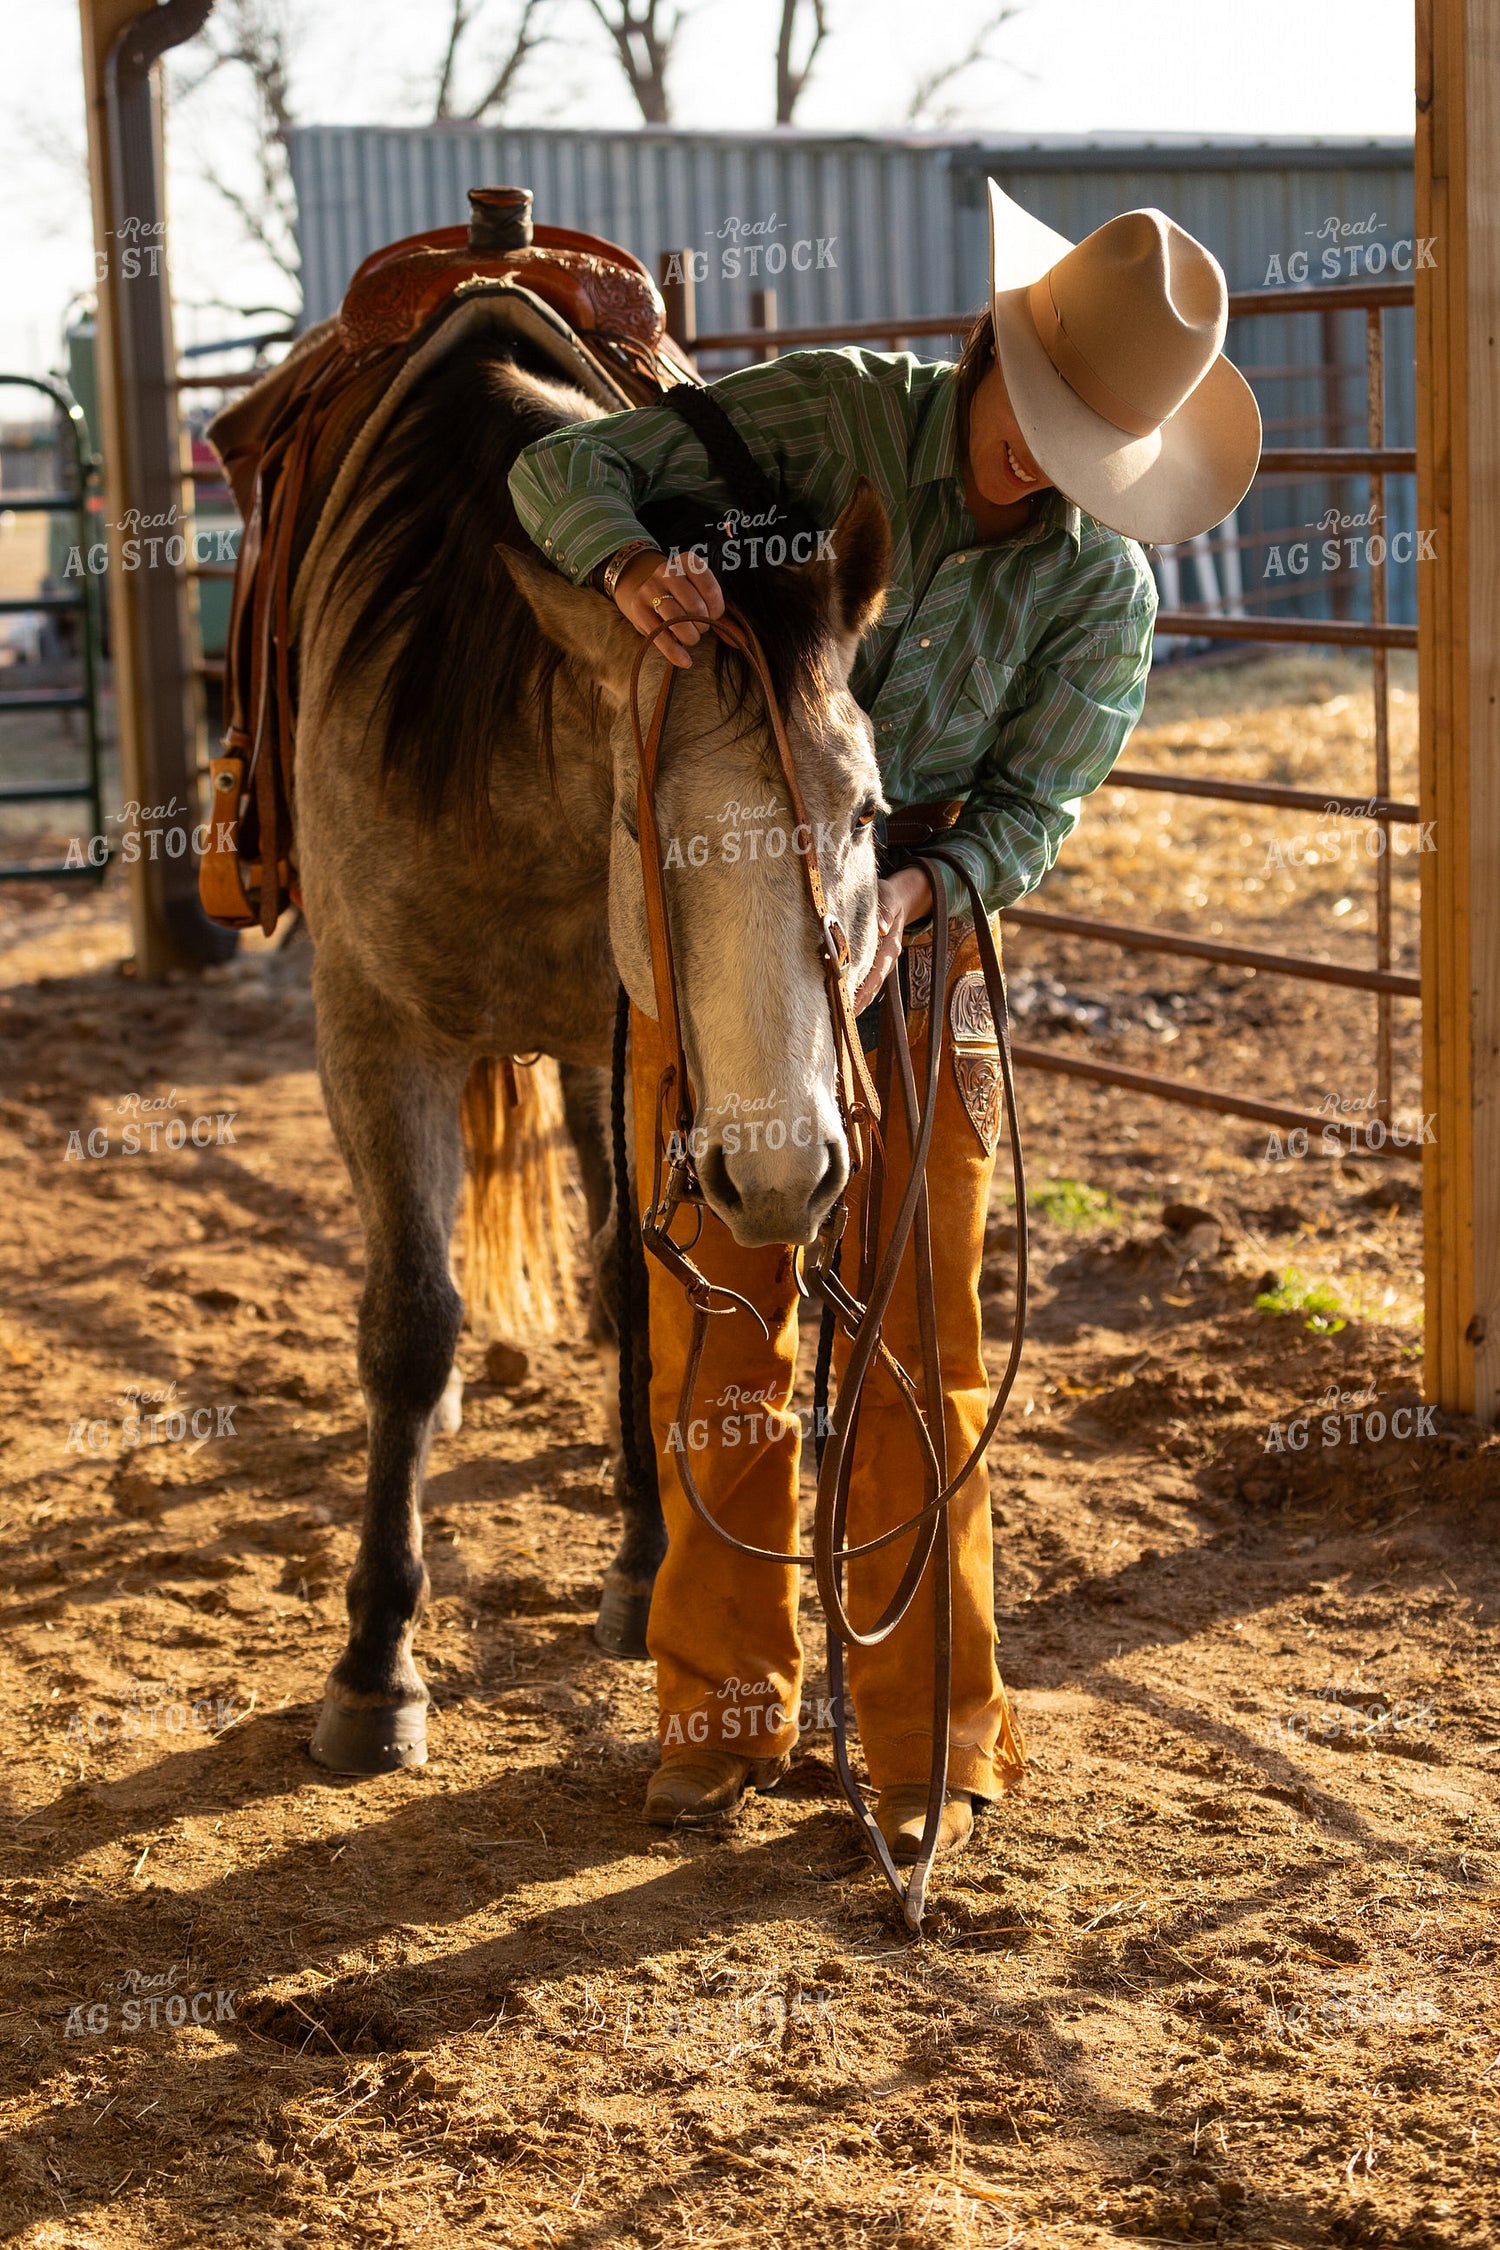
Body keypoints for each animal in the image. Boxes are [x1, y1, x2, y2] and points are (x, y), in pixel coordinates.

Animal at [277, 326, 894, 1773]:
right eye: (646, 826)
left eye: (864, 814)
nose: (787, 1173)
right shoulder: (369, 1034)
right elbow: (409, 1321)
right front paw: (374, 1665)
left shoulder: (630, 1045)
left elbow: (632, 1277)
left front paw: (644, 1557)